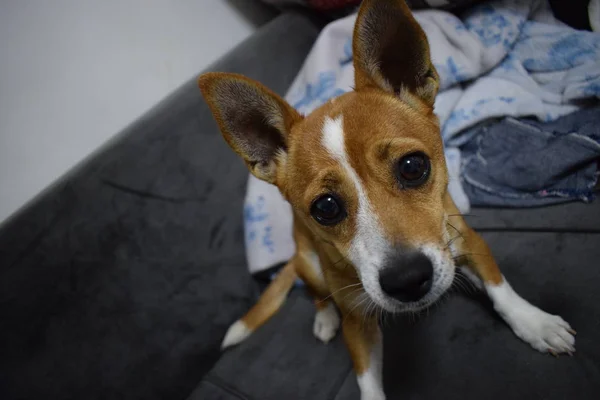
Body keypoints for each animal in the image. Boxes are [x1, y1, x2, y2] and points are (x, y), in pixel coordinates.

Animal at [198, 1, 576, 398]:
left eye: (413, 166)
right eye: (325, 208)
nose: (408, 280)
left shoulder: (469, 242)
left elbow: (500, 288)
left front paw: (534, 323)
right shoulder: (358, 323)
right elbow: (367, 379)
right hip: (309, 262)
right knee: (316, 291)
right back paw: (324, 318)